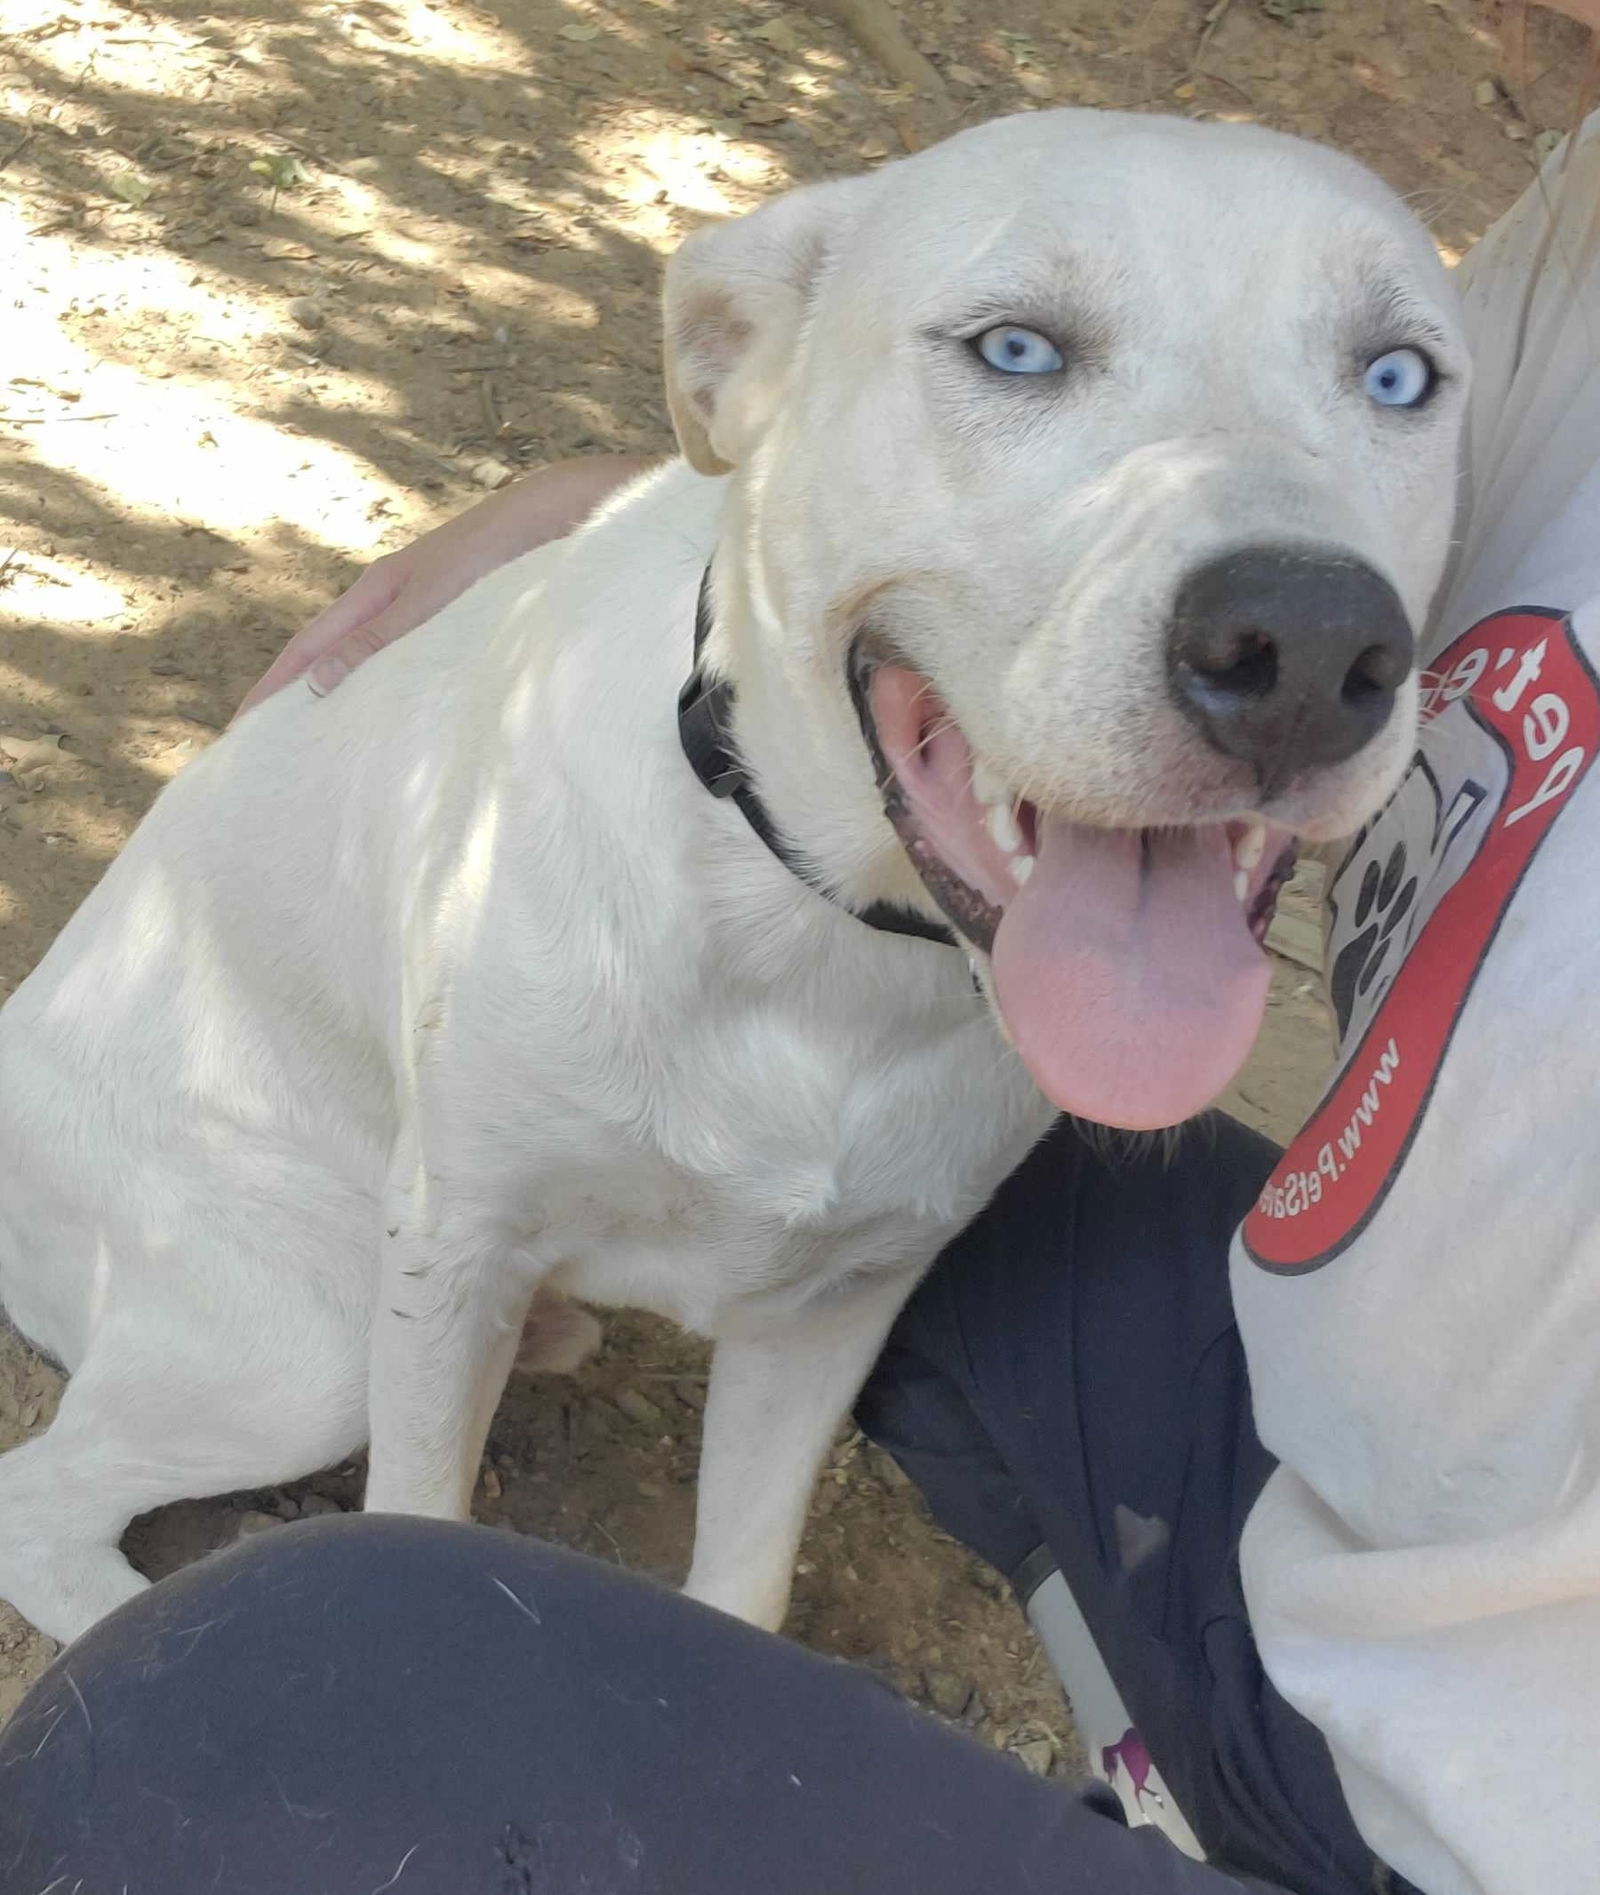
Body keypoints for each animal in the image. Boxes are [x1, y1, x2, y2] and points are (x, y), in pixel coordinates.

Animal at [0, 110, 1463, 1644]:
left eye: (1400, 377)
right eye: (1015, 349)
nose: (1308, 648)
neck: (820, 937)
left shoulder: (836, 1308)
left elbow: (744, 1584)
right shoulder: (448, 1254)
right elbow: (414, 1527)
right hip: (313, 1325)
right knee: (36, 1507)